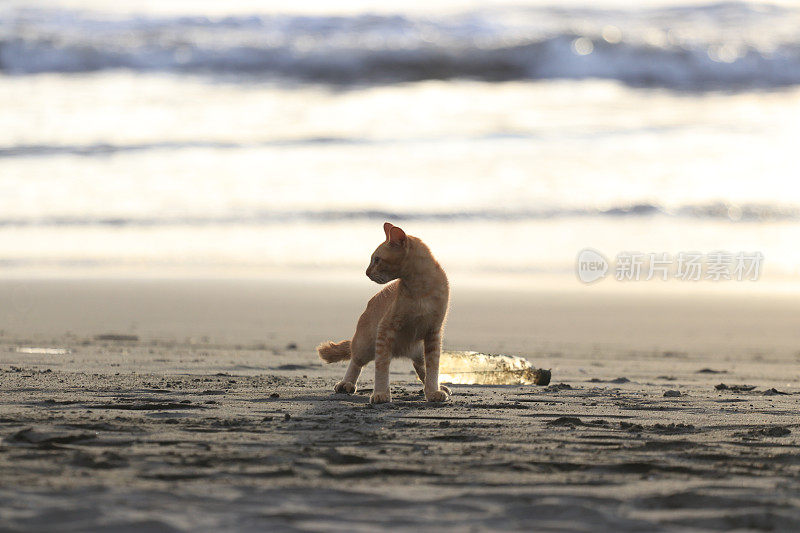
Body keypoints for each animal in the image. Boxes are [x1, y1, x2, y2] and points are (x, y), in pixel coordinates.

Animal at [316, 221, 450, 404]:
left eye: (377, 259)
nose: (366, 272)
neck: (421, 289)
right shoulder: (385, 330)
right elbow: (381, 367)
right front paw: (381, 393)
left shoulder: (433, 333)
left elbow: (433, 367)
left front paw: (433, 391)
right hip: (364, 344)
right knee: (355, 361)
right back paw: (346, 383)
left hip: (418, 349)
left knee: (421, 367)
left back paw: (437, 387)